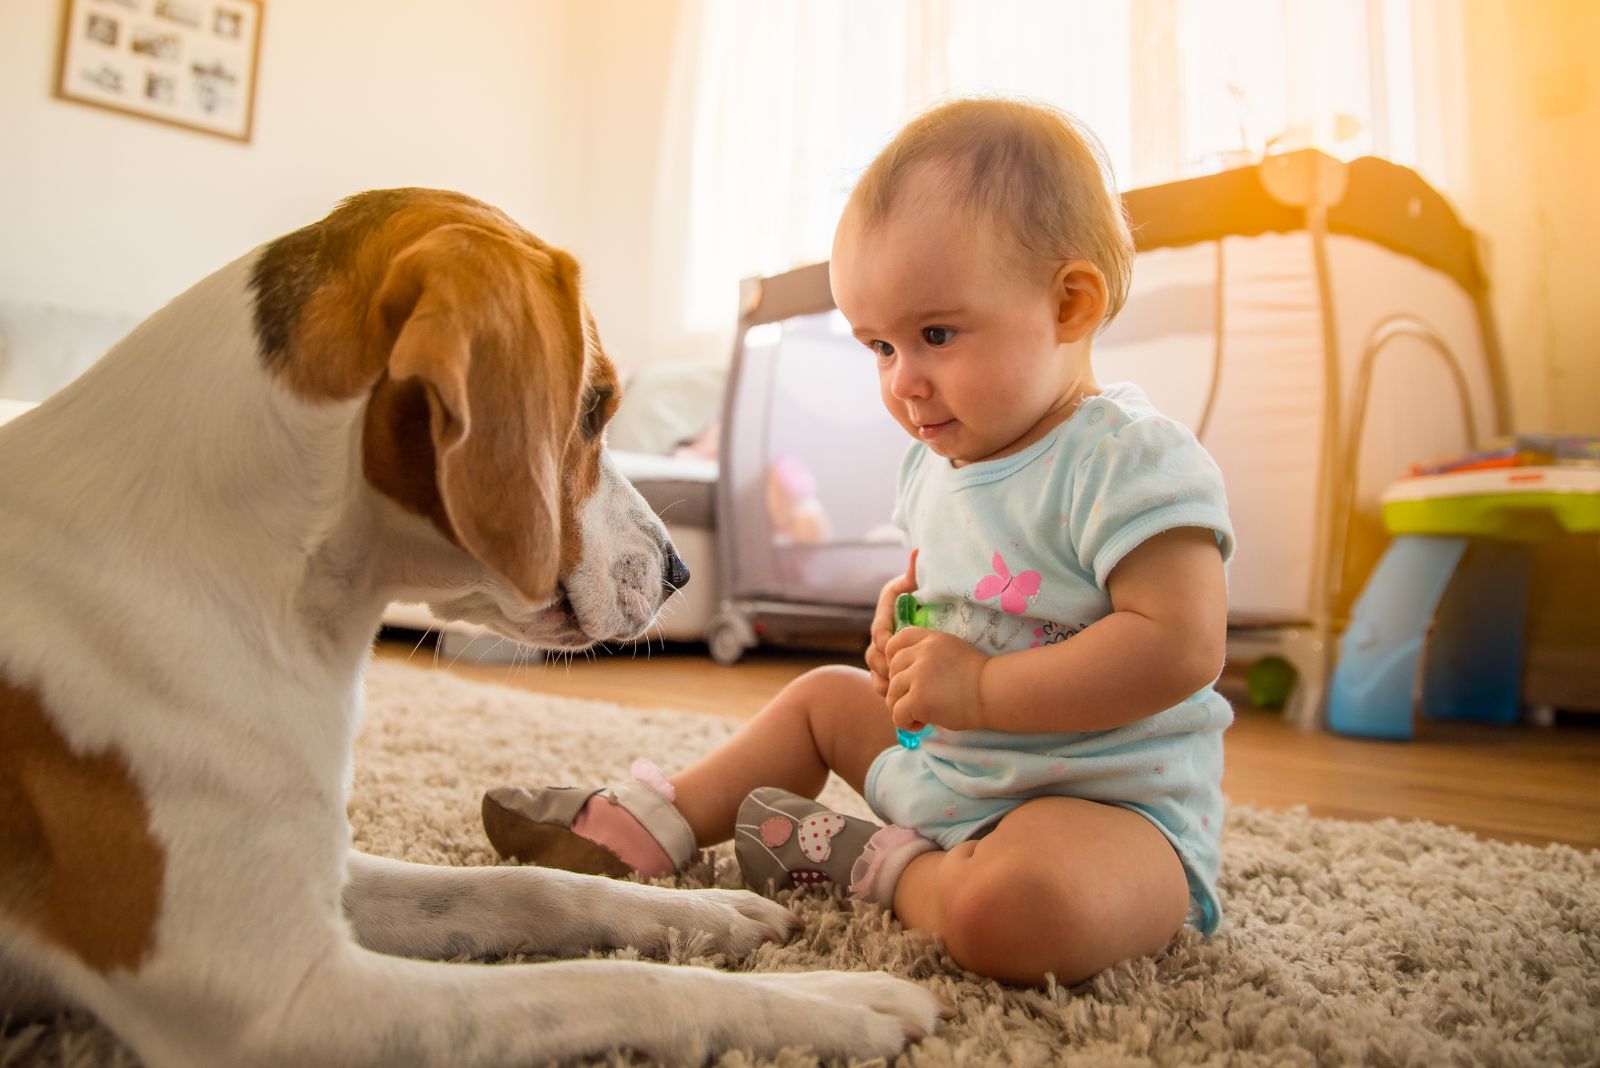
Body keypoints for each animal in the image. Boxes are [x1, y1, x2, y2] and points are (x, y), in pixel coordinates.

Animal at [0, 191, 934, 1068]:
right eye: (594, 408)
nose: (680, 573)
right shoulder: (286, 1008)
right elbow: (609, 983)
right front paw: (831, 1000)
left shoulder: (331, 880)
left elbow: (530, 890)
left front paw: (700, 912)